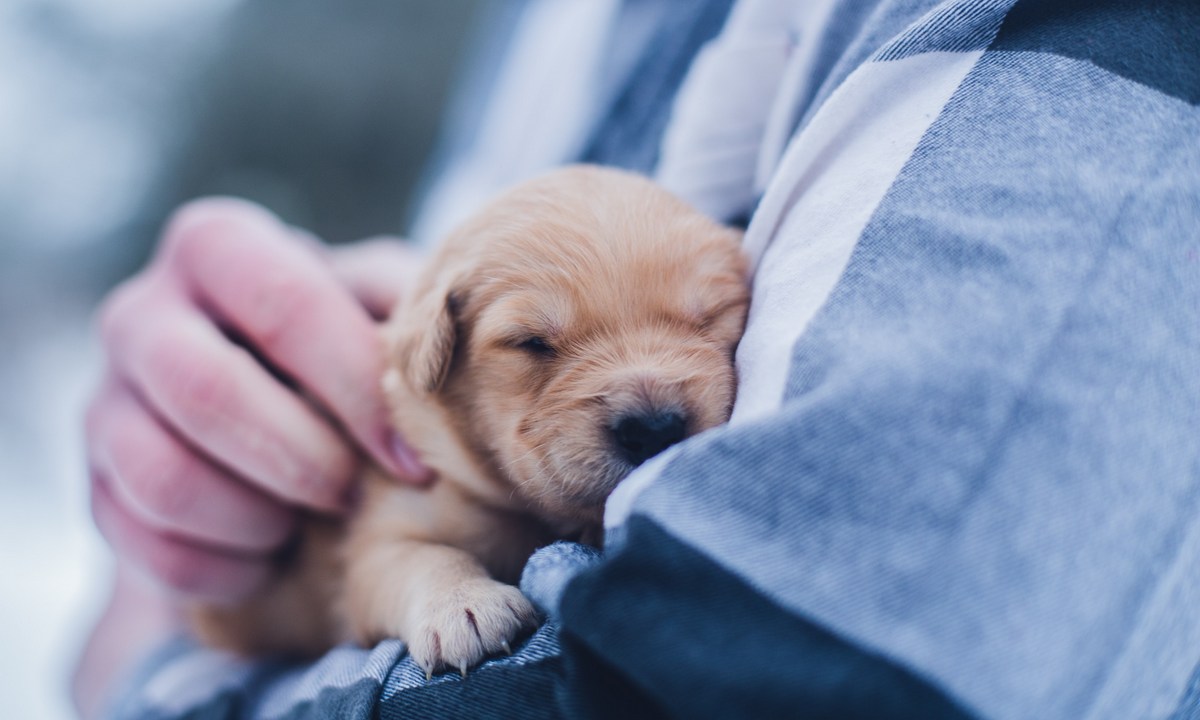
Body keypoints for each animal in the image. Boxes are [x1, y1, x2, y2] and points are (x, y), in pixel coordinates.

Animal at [190, 165, 744, 676]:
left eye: (711, 316)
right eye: (531, 342)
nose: (652, 429)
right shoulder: (377, 537)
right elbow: (420, 557)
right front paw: (463, 605)